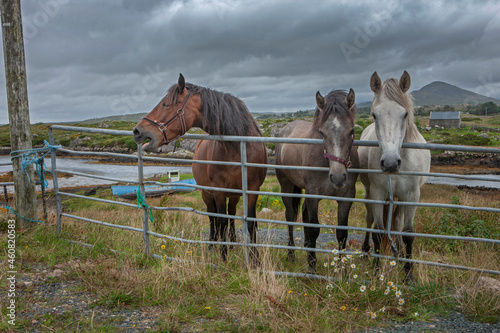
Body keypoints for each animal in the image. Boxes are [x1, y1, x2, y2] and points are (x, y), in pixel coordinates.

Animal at [132, 74, 266, 260]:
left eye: (165, 104)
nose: (137, 131)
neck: (237, 148)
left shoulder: (252, 189)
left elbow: (250, 223)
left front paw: (255, 259)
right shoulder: (218, 190)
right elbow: (220, 220)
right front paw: (223, 257)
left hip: (233, 195)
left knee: (231, 213)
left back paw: (232, 243)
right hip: (207, 194)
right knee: (213, 216)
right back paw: (212, 244)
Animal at [274, 88, 360, 270]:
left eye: (351, 130)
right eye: (322, 132)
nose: (338, 177)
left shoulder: (347, 196)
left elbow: (342, 232)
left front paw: (341, 269)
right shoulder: (313, 193)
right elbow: (314, 229)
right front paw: (312, 266)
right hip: (286, 185)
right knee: (290, 215)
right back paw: (291, 254)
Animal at [360, 70, 430, 280]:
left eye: (405, 113)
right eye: (374, 114)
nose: (390, 164)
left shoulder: (412, 195)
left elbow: (408, 233)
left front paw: (408, 273)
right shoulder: (377, 193)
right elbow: (378, 231)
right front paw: (376, 271)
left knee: (397, 224)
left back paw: (397, 253)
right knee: (369, 220)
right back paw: (366, 250)